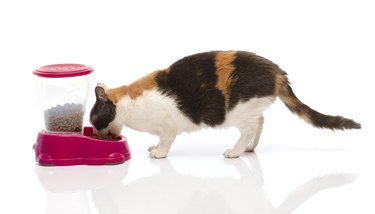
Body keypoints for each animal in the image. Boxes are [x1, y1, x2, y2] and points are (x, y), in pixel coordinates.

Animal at [89, 49, 362, 157]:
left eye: (94, 119)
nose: (97, 133)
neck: (129, 104)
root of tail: (277, 72)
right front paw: (153, 147)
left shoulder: (168, 126)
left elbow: (165, 141)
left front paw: (158, 153)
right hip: (251, 108)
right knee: (260, 122)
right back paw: (250, 148)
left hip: (239, 110)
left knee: (250, 128)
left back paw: (236, 151)